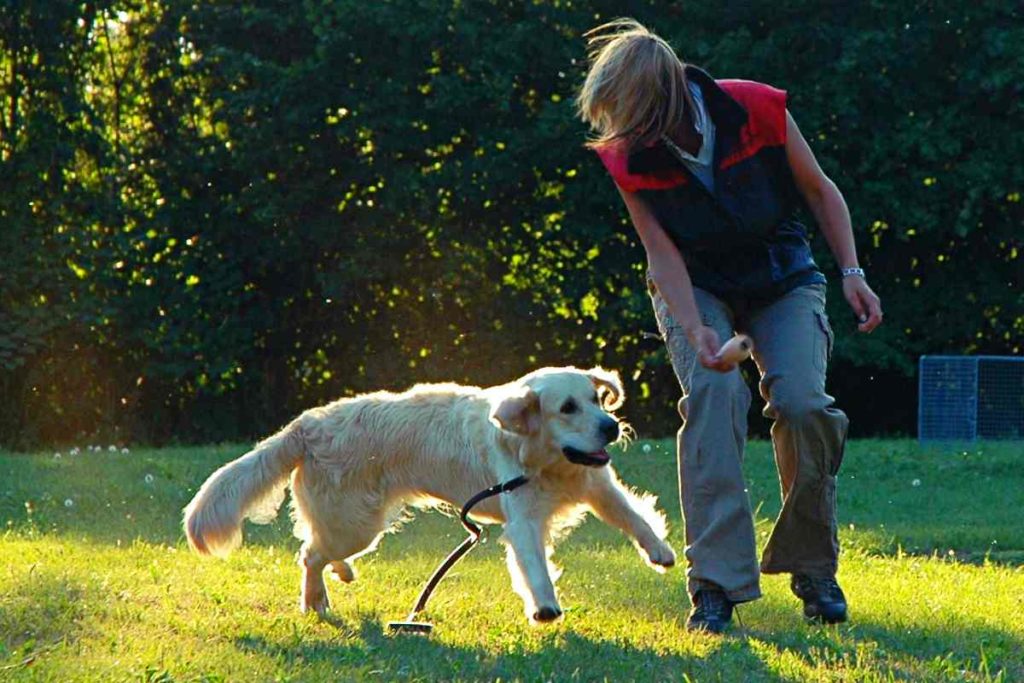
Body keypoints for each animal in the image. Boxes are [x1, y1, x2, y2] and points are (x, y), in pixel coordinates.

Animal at [185, 366, 675, 622]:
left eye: (596, 398)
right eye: (568, 407)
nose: (610, 427)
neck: (549, 462)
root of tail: (307, 424)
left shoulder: (598, 486)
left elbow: (635, 517)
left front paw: (661, 552)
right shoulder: (523, 519)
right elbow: (534, 565)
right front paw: (545, 606)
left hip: (356, 522)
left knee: (315, 546)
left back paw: (340, 575)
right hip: (356, 523)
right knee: (309, 554)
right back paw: (315, 601)